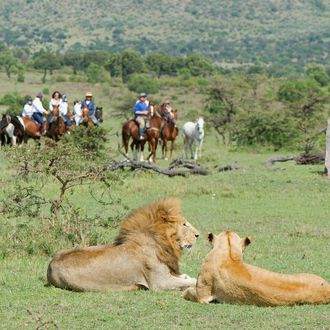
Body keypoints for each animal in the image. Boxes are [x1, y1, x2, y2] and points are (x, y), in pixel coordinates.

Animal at [48, 197, 200, 290]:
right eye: (184, 224)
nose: (198, 235)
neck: (163, 243)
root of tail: (50, 264)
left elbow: (186, 277)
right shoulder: (160, 282)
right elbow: (192, 281)